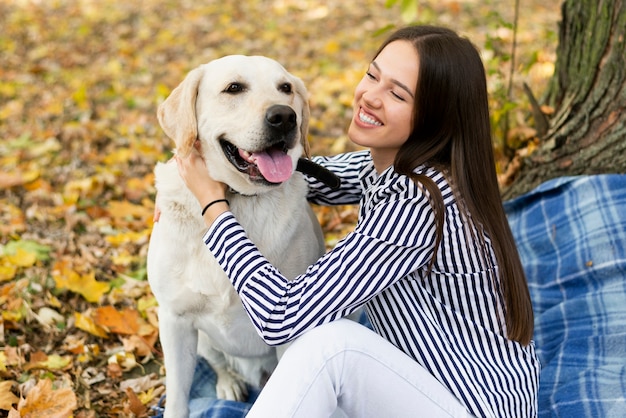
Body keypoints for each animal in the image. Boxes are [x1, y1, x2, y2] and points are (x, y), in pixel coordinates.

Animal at [144, 55, 324, 418]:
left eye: (285, 88)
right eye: (234, 88)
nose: (285, 116)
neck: (236, 200)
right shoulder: (173, 319)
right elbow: (177, 398)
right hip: (200, 340)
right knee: (218, 364)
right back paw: (229, 382)